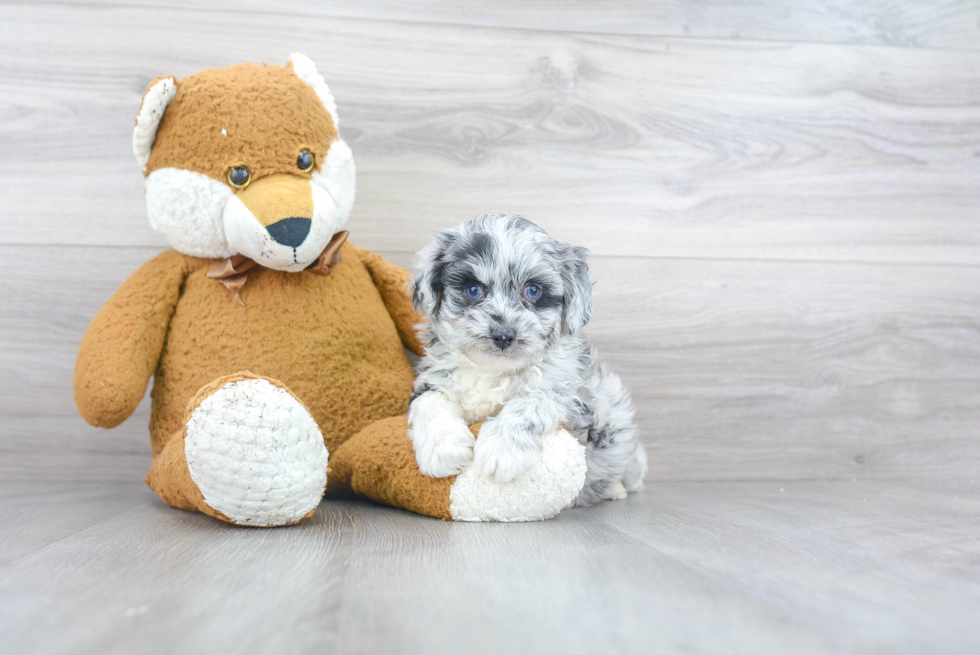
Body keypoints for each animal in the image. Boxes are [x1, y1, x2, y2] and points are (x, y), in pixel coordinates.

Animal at [406, 215, 644, 508]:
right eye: (473, 290)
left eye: (532, 290)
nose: (503, 335)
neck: (493, 370)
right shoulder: (432, 380)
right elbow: (429, 401)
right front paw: (443, 450)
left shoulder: (584, 404)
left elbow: (533, 400)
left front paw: (501, 448)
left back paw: (616, 490)